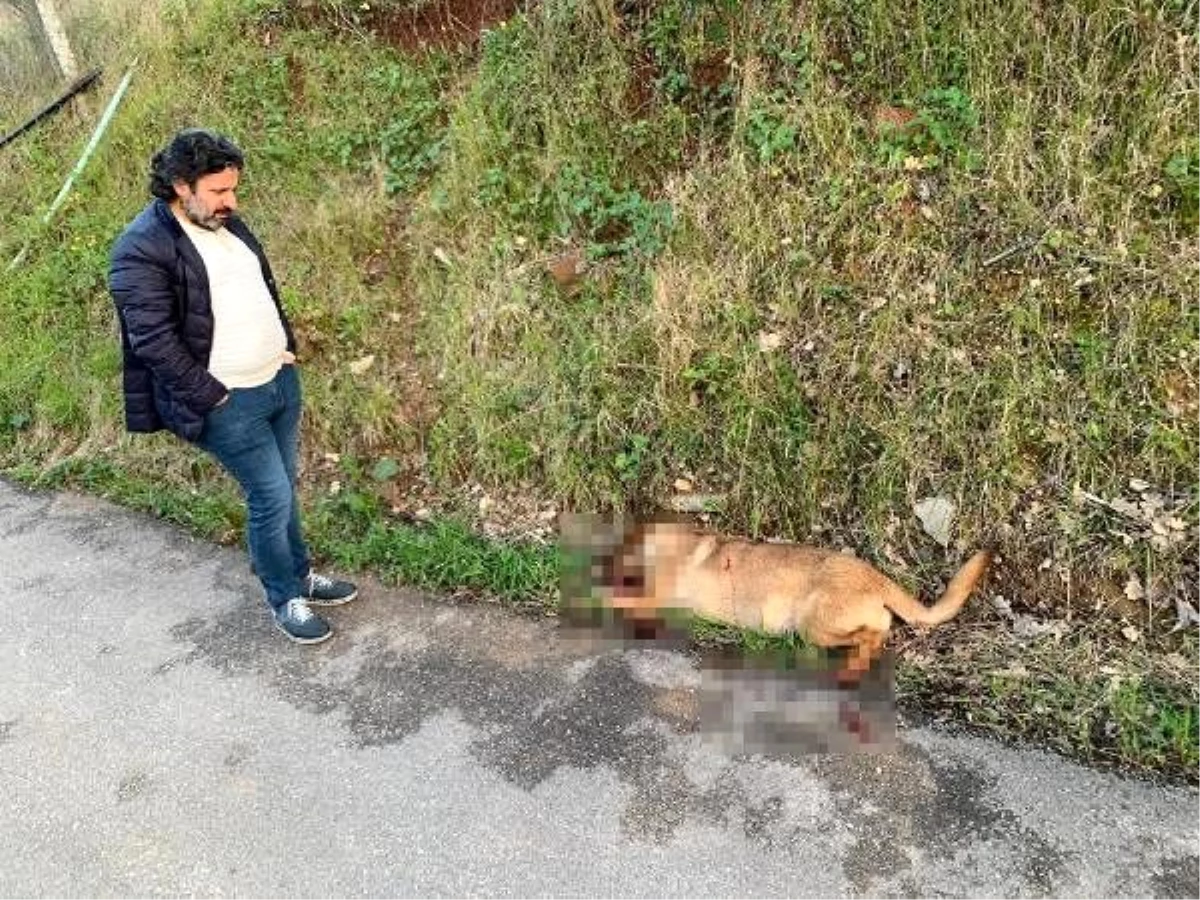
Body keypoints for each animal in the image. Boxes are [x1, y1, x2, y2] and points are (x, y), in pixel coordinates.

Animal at [600, 520, 993, 681]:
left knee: (875, 634)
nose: (601, 565)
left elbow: (623, 600)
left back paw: (850, 669)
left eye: (617, 552)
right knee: (879, 630)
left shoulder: (655, 597)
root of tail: (874, 575)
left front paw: (602, 597)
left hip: (813, 624)